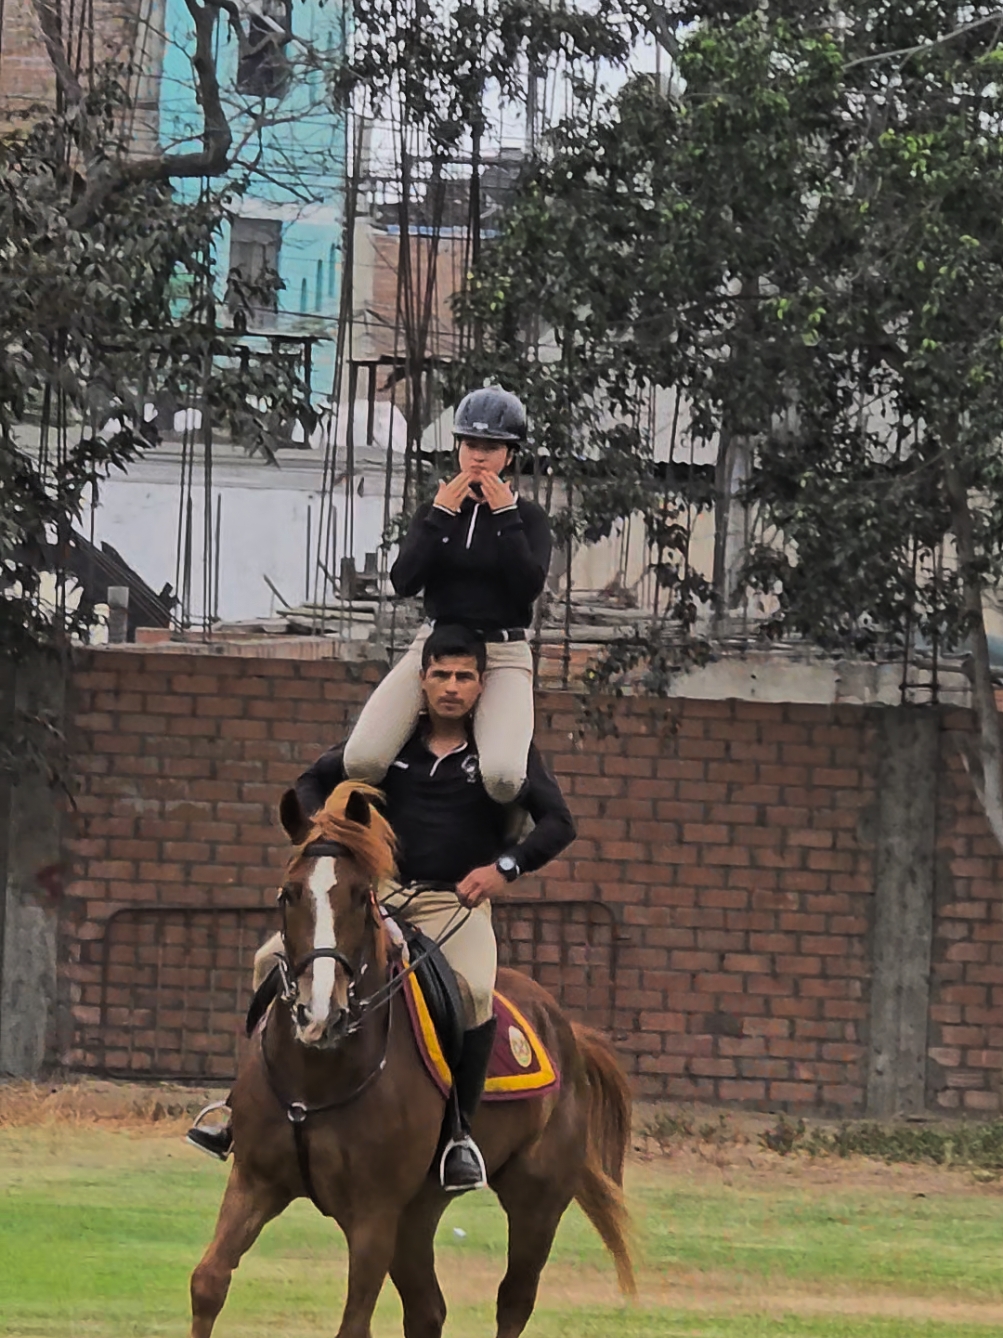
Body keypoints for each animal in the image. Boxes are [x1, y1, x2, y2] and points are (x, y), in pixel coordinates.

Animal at [188, 781, 636, 1338]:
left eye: (360, 897)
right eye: (288, 894)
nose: (319, 1011)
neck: (318, 1076)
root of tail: (566, 1030)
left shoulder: (374, 1216)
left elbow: (354, 1323)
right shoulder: (254, 1182)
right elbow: (208, 1282)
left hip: (536, 1199)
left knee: (514, 1301)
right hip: (419, 1214)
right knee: (428, 1310)